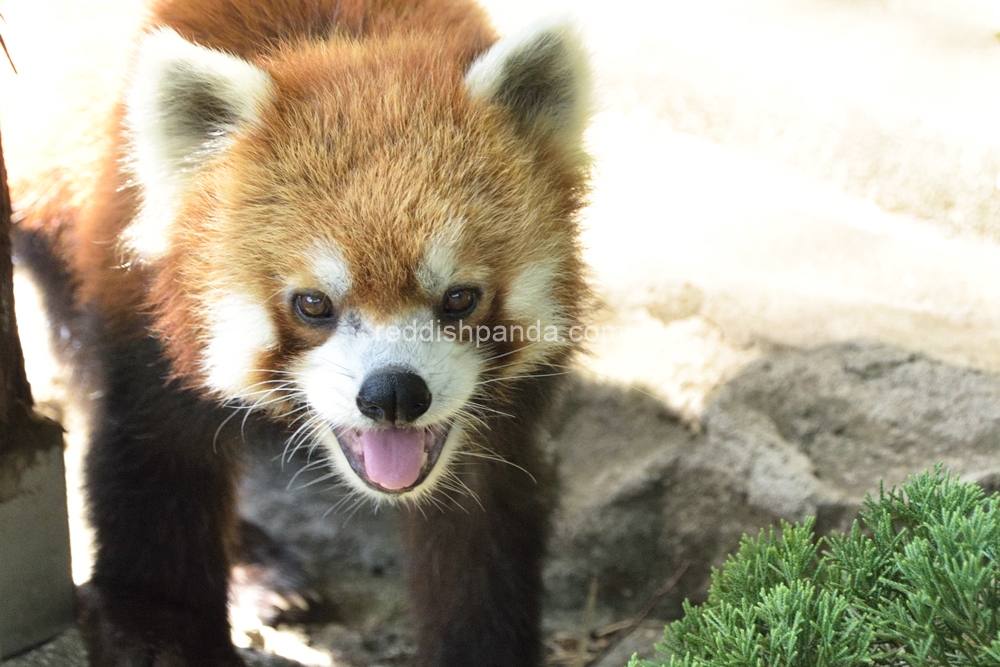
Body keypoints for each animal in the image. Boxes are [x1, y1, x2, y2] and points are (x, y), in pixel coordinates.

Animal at [7, 0, 588, 664]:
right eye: (313, 305)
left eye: (459, 298)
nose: (393, 393)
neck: (334, 40)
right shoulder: (137, 304)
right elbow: (154, 467)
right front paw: (158, 628)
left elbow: (481, 526)